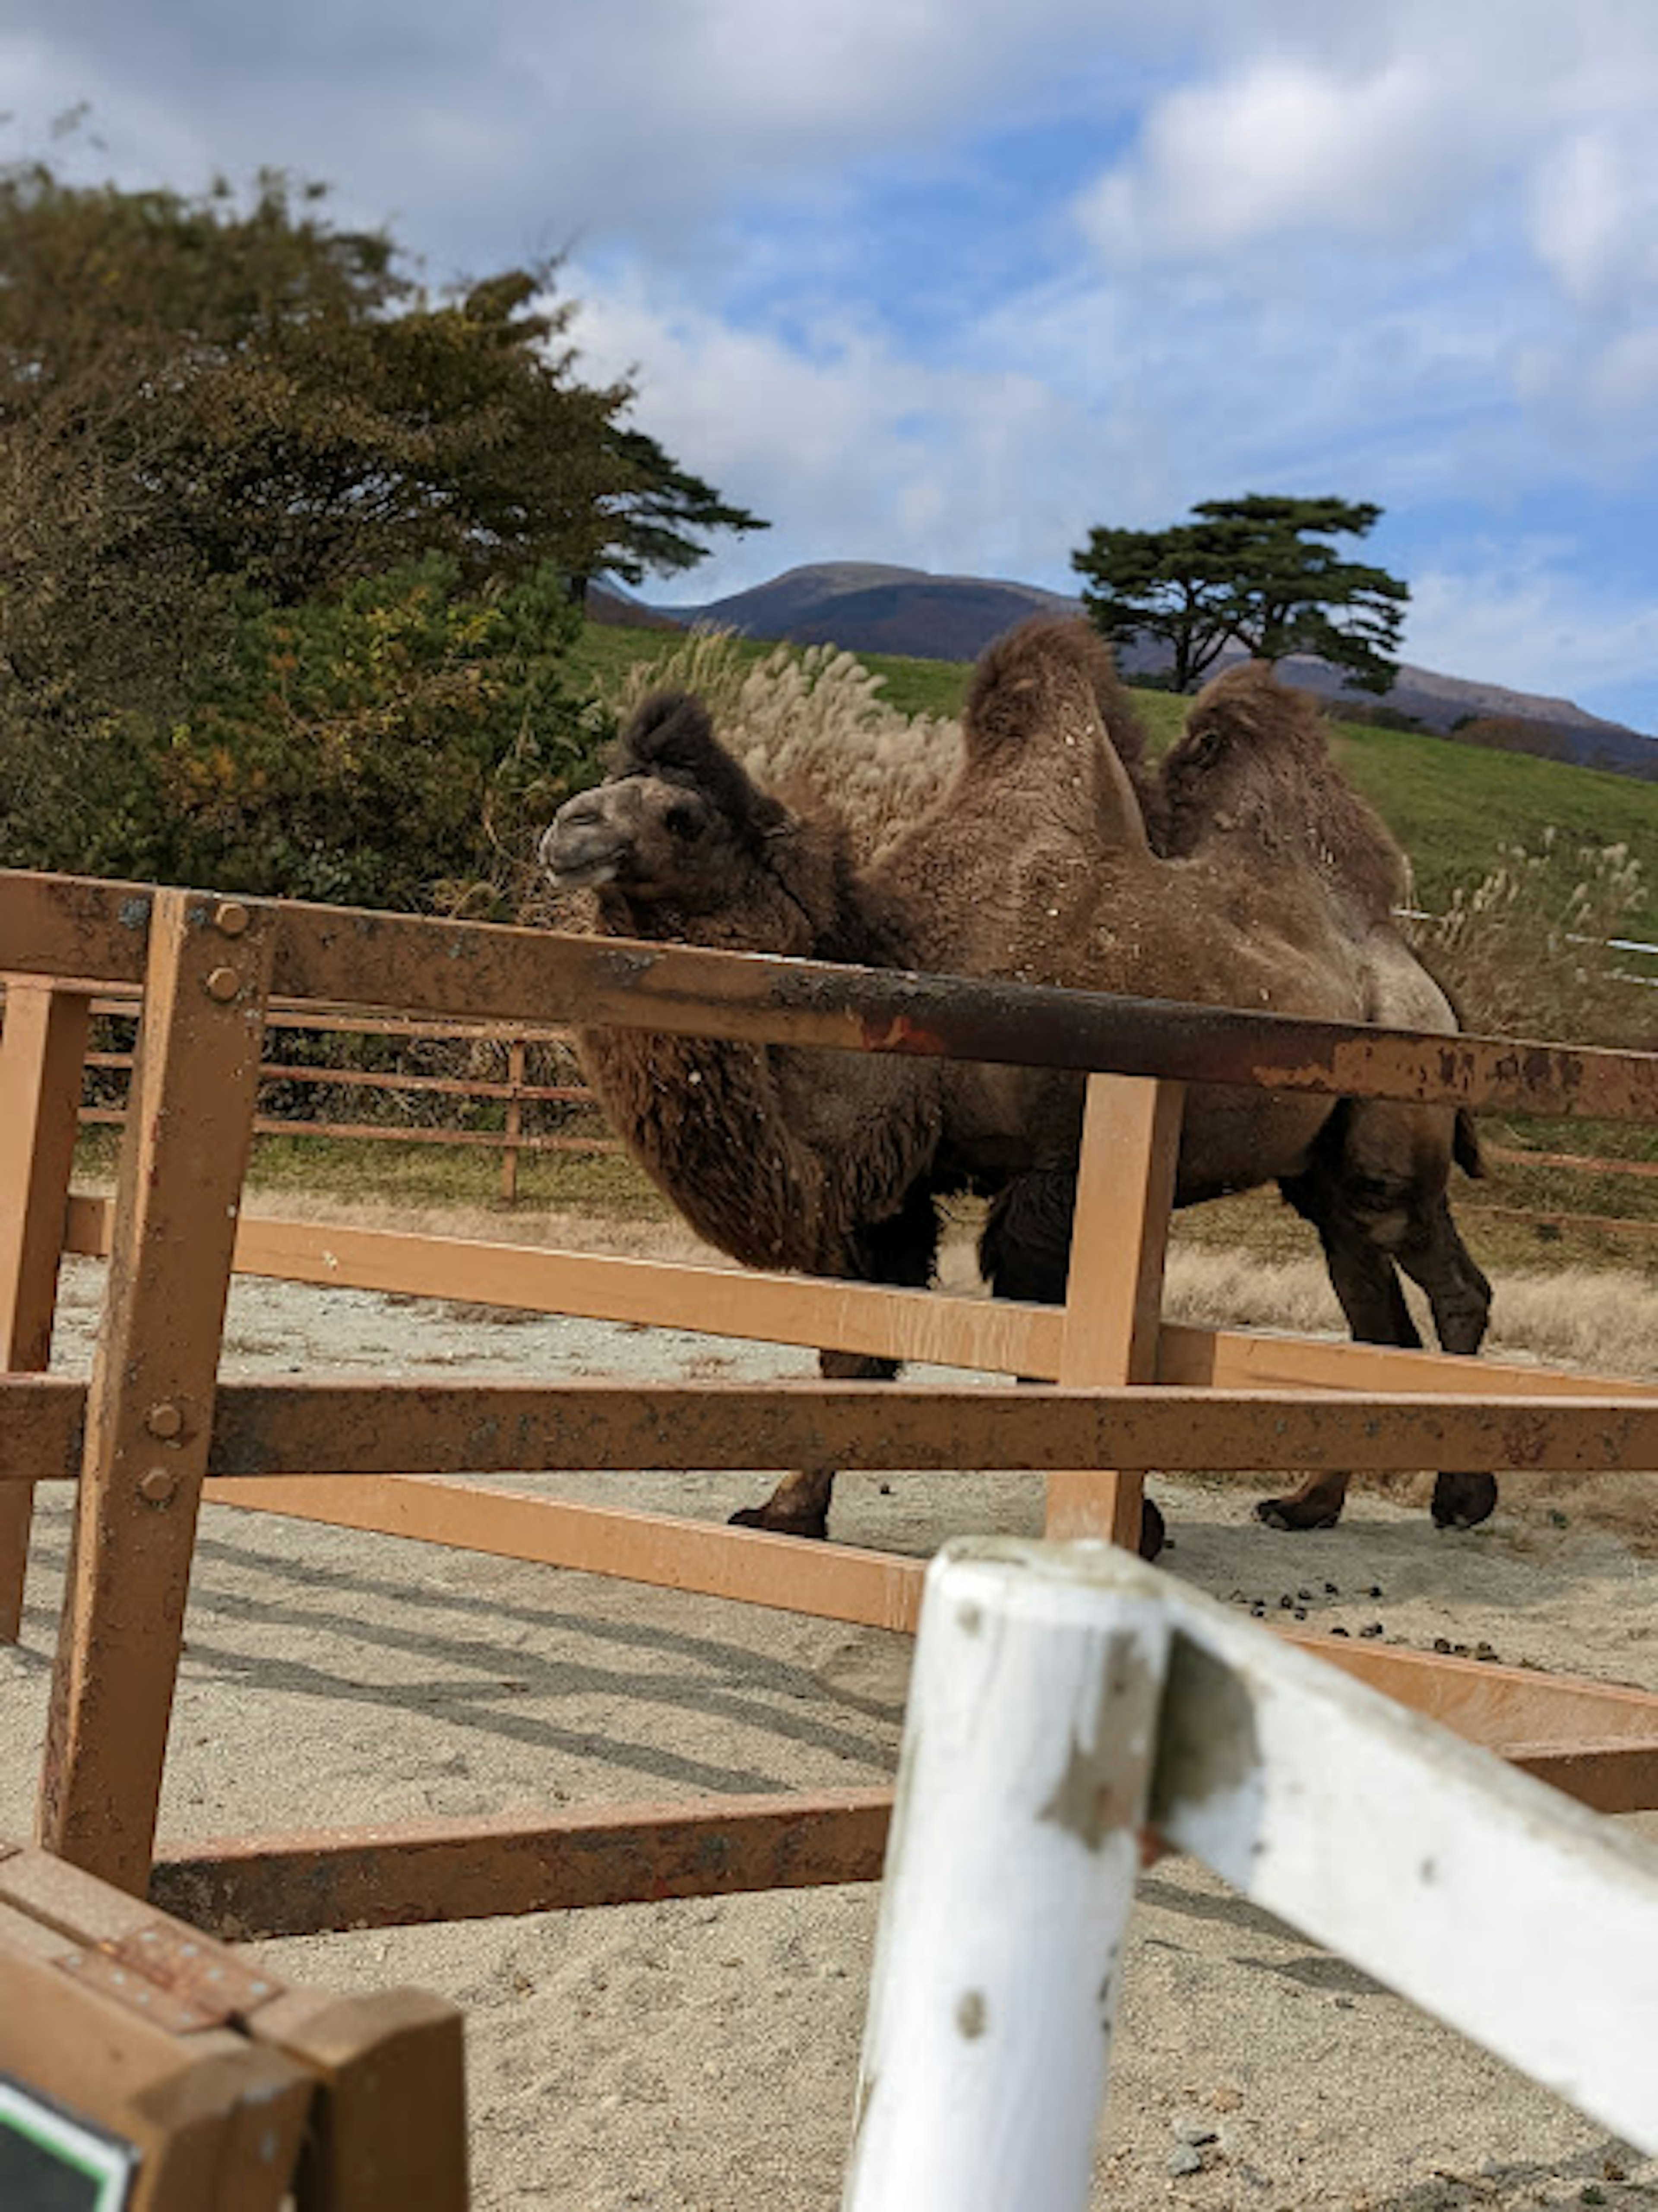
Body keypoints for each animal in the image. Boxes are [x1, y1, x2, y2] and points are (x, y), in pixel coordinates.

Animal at [546, 619, 1494, 1557]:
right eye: (609, 785)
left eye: (685, 816)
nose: (566, 828)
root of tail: (1426, 981)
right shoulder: (894, 1187)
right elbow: (853, 1349)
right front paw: (787, 1511)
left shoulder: (1059, 1173)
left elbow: (1047, 1351)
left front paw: (1137, 1526)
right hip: (1320, 1169)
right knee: (1371, 1313)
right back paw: (1307, 1503)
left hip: (1394, 1127)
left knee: (1440, 1276)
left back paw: (1463, 1495)